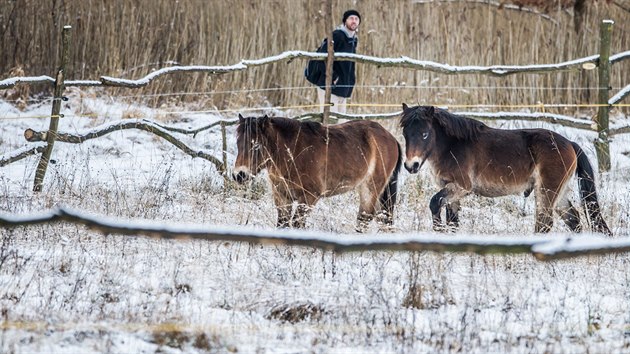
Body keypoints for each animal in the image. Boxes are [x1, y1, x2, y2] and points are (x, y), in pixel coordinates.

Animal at [233, 114, 404, 232]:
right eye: (238, 143)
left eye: (256, 145)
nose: (239, 175)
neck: (293, 152)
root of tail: (391, 138)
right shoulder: (282, 196)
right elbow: (283, 224)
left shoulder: (309, 197)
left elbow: (297, 224)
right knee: (381, 217)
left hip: (370, 188)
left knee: (365, 218)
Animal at [400, 104, 612, 235]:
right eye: (405, 134)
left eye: (425, 134)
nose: (411, 165)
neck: (453, 146)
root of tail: (570, 144)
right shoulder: (451, 191)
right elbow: (452, 222)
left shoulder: (461, 187)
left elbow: (434, 203)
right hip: (559, 194)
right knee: (573, 219)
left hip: (546, 191)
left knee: (544, 223)